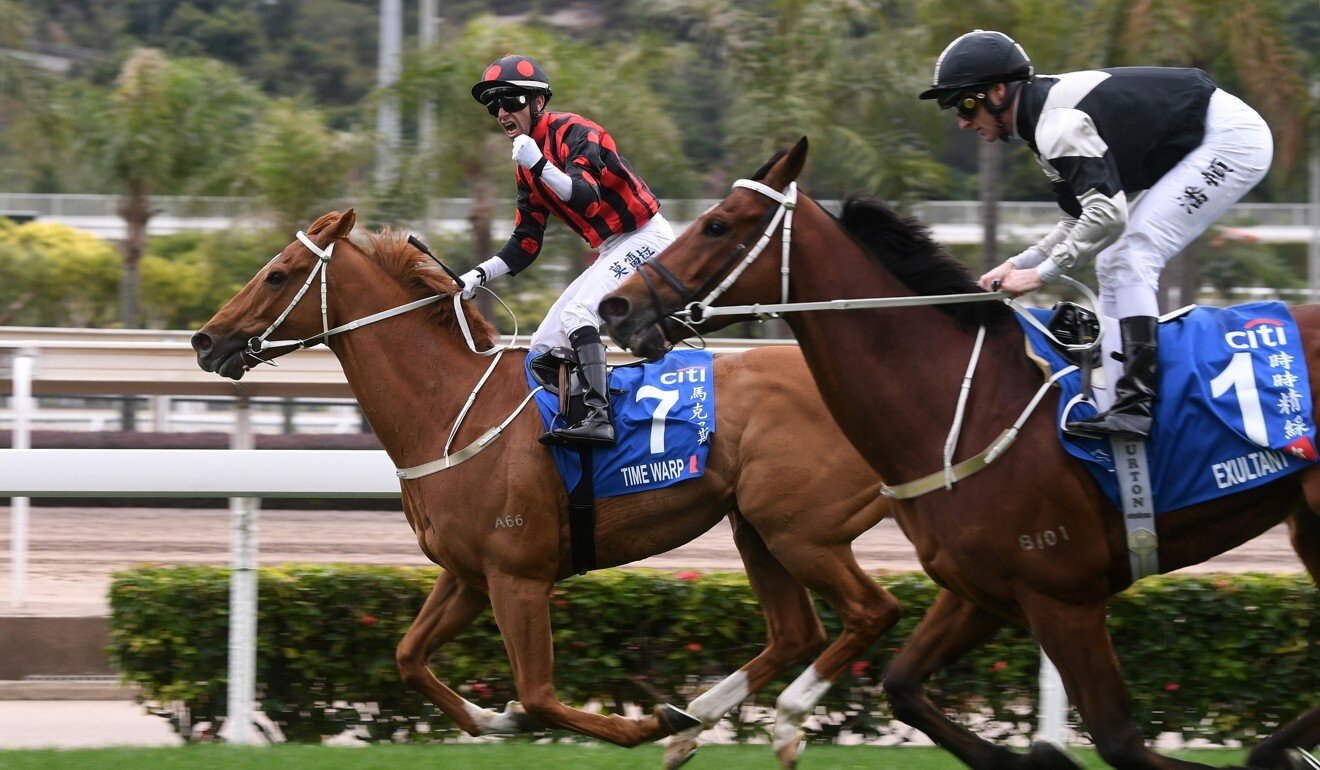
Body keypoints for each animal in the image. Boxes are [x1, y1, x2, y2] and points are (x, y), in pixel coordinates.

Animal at [188, 207, 908, 766]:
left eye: (278, 273)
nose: (203, 340)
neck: (449, 408)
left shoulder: (519, 575)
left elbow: (539, 695)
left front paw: (642, 723)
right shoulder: (469, 574)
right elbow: (409, 658)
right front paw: (494, 717)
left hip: (801, 530)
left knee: (872, 610)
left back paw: (761, 720)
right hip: (756, 527)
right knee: (795, 633)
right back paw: (698, 720)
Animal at [604, 140, 1320, 770]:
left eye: (718, 224)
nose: (617, 306)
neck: (966, 401)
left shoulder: (1065, 596)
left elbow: (1119, 739)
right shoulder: (983, 589)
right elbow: (901, 687)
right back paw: (1280, 747)